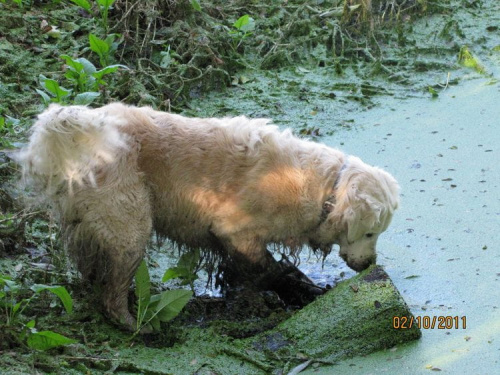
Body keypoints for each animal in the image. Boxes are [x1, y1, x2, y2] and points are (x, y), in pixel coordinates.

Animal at [19, 104, 400, 330]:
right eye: (370, 233)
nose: (370, 264)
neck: (326, 190)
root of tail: (84, 127)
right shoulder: (236, 231)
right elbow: (268, 269)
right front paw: (296, 290)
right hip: (129, 223)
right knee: (113, 292)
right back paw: (134, 323)